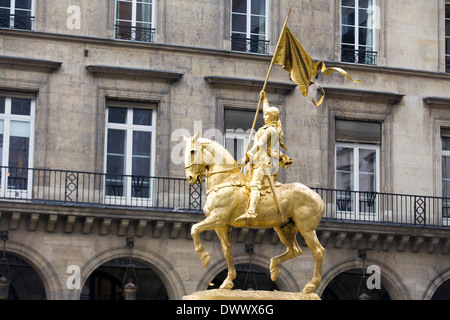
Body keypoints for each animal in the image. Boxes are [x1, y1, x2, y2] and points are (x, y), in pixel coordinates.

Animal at [184, 132, 326, 292]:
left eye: (192, 151)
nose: (190, 177)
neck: (226, 180)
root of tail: (318, 197)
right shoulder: (221, 226)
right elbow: (227, 251)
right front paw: (228, 282)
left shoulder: (217, 218)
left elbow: (194, 229)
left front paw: (204, 256)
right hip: (283, 228)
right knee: (295, 250)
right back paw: (274, 268)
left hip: (306, 228)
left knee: (318, 251)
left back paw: (310, 286)